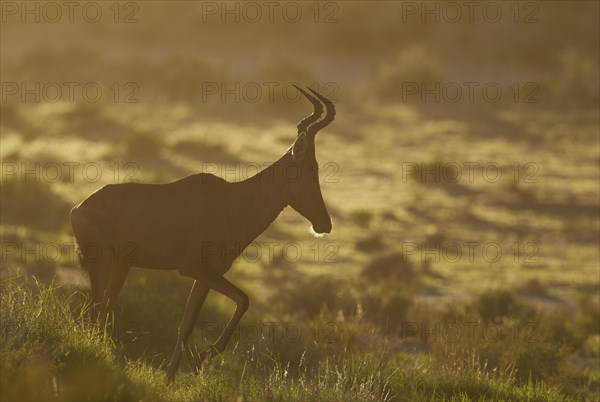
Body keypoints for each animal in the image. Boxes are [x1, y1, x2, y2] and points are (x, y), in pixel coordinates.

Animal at [70, 85, 336, 380]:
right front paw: (205, 357)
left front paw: (171, 378)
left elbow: (185, 326)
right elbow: (244, 299)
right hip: (100, 263)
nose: (324, 224)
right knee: (95, 310)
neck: (232, 201)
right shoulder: (194, 269)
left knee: (103, 309)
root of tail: (78, 208)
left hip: (121, 267)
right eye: (310, 167)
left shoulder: (206, 276)